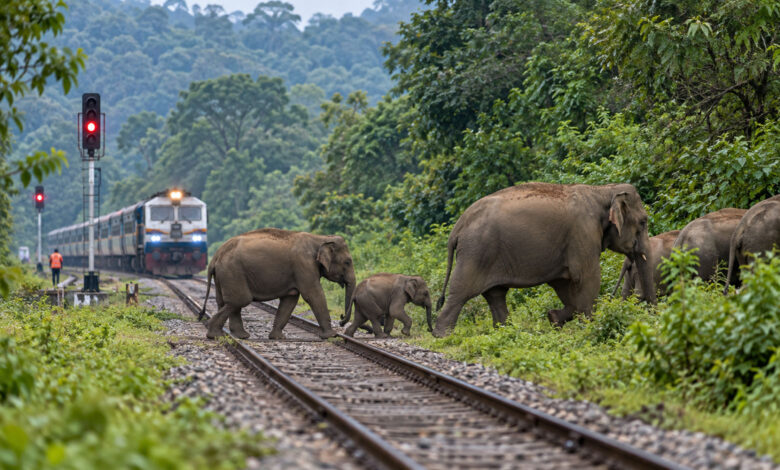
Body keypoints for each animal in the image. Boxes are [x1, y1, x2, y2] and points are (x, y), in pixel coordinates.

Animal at [199, 228, 356, 340]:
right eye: (348, 262)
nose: (341, 319)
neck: (321, 238)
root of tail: (215, 256)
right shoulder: (304, 265)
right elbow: (313, 294)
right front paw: (332, 335)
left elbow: (290, 300)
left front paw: (278, 337)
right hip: (232, 272)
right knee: (240, 300)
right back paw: (215, 335)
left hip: (224, 275)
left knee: (226, 302)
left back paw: (239, 335)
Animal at [433, 182, 656, 337]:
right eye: (643, 222)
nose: (653, 318)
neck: (603, 191)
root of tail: (458, 226)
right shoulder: (583, 234)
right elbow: (587, 278)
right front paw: (589, 327)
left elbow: (563, 284)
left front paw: (554, 318)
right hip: (475, 252)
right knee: (460, 293)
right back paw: (442, 336)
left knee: (496, 295)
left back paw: (506, 332)